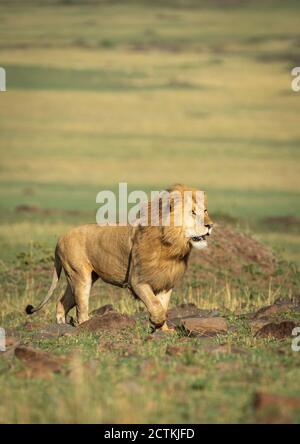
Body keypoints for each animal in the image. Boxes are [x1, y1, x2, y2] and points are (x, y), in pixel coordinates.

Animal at [25, 183, 213, 330]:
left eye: (205, 211)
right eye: (193, 213)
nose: (210, 225)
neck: (171, 244)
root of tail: (60, 238)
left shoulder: (165, 282)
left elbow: (163, 306)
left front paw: (163, 331)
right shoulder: (138, 281)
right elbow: (156, 306)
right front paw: (155, 322)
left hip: (80, 277)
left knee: (62, 301)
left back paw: (61, 325)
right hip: (80, 276)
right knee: (81, 309)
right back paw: (85, 327)